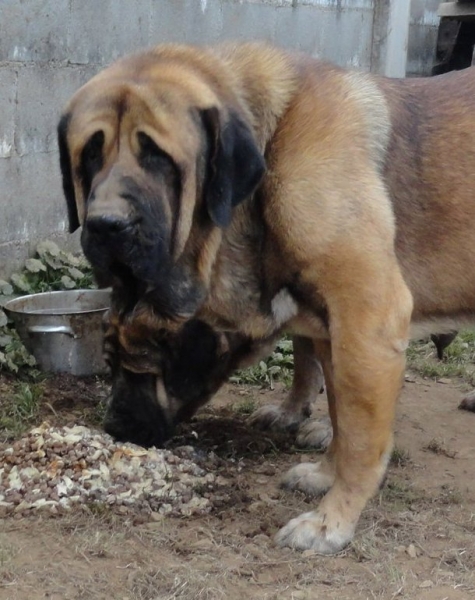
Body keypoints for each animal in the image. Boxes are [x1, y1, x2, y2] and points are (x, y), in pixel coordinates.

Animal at [58, 44, 475, 556]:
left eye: (158, 157)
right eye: (89, 153)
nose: (113, 427)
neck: (271, 143)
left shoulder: (366, 325)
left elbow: (360, 436)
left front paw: (332, 521)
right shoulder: (331, 333)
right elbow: (341, 414)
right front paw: (325, 474)